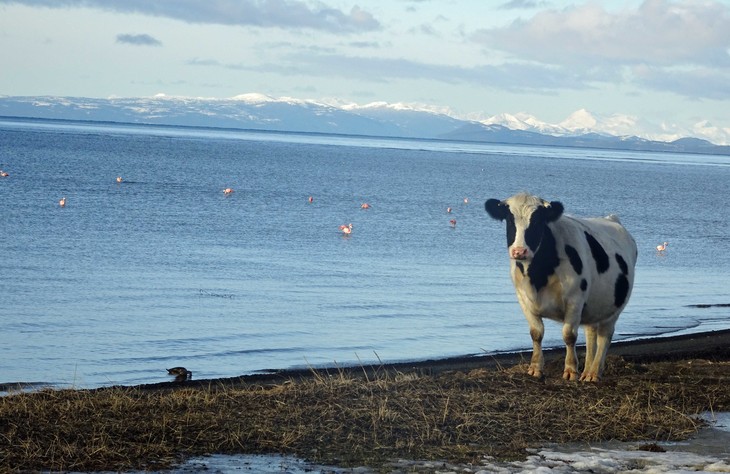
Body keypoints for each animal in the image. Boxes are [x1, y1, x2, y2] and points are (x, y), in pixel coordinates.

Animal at [484, 193, 636, 382]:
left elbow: (569, 335)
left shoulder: (575, 299)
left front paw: (570, 370)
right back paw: (587, 372)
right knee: (591, 334)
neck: (538, 275)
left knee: (604, 336)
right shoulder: (523, 299)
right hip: (594, 306)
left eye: (537, 221)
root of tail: (611, 219)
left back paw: (593, 373)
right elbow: (536, 333)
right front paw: (535, 368)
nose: (519, 251)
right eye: (510, 220)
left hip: (614, 307)